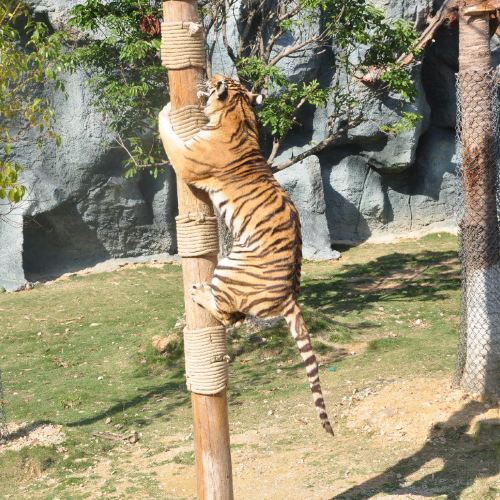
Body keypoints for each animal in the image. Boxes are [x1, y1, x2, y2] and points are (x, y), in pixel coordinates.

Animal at [158, 75, 333, 435]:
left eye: (215, 80)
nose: (205, 79)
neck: (238, 112)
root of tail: (290, 297)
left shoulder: (187, 160)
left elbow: (168, 136)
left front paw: (164, 110)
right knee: (235, 317)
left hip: (230, 266)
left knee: (226, 314)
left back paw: (199, 291)